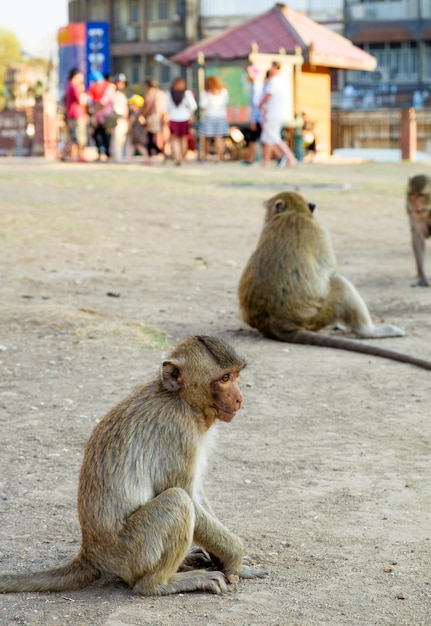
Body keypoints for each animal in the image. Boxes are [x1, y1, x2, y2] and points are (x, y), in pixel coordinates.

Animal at [0, 336, 266, 596]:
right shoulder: (178, 431)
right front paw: (235, 559)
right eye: (224, 379)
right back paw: (161, 584)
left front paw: (222, 557)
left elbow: (198, 495)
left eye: (235, 375)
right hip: (132, 551)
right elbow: (189, 497)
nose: (240, 399)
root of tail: (90, 553)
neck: (181, 399)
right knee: (177, 500)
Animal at [238, 188, 431, 368]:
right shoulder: (321, 231)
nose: (266, 217)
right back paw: (367, 331)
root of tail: (277, 324)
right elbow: (329, 272)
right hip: (317, 317)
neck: (294, 211)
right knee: (341, 283)